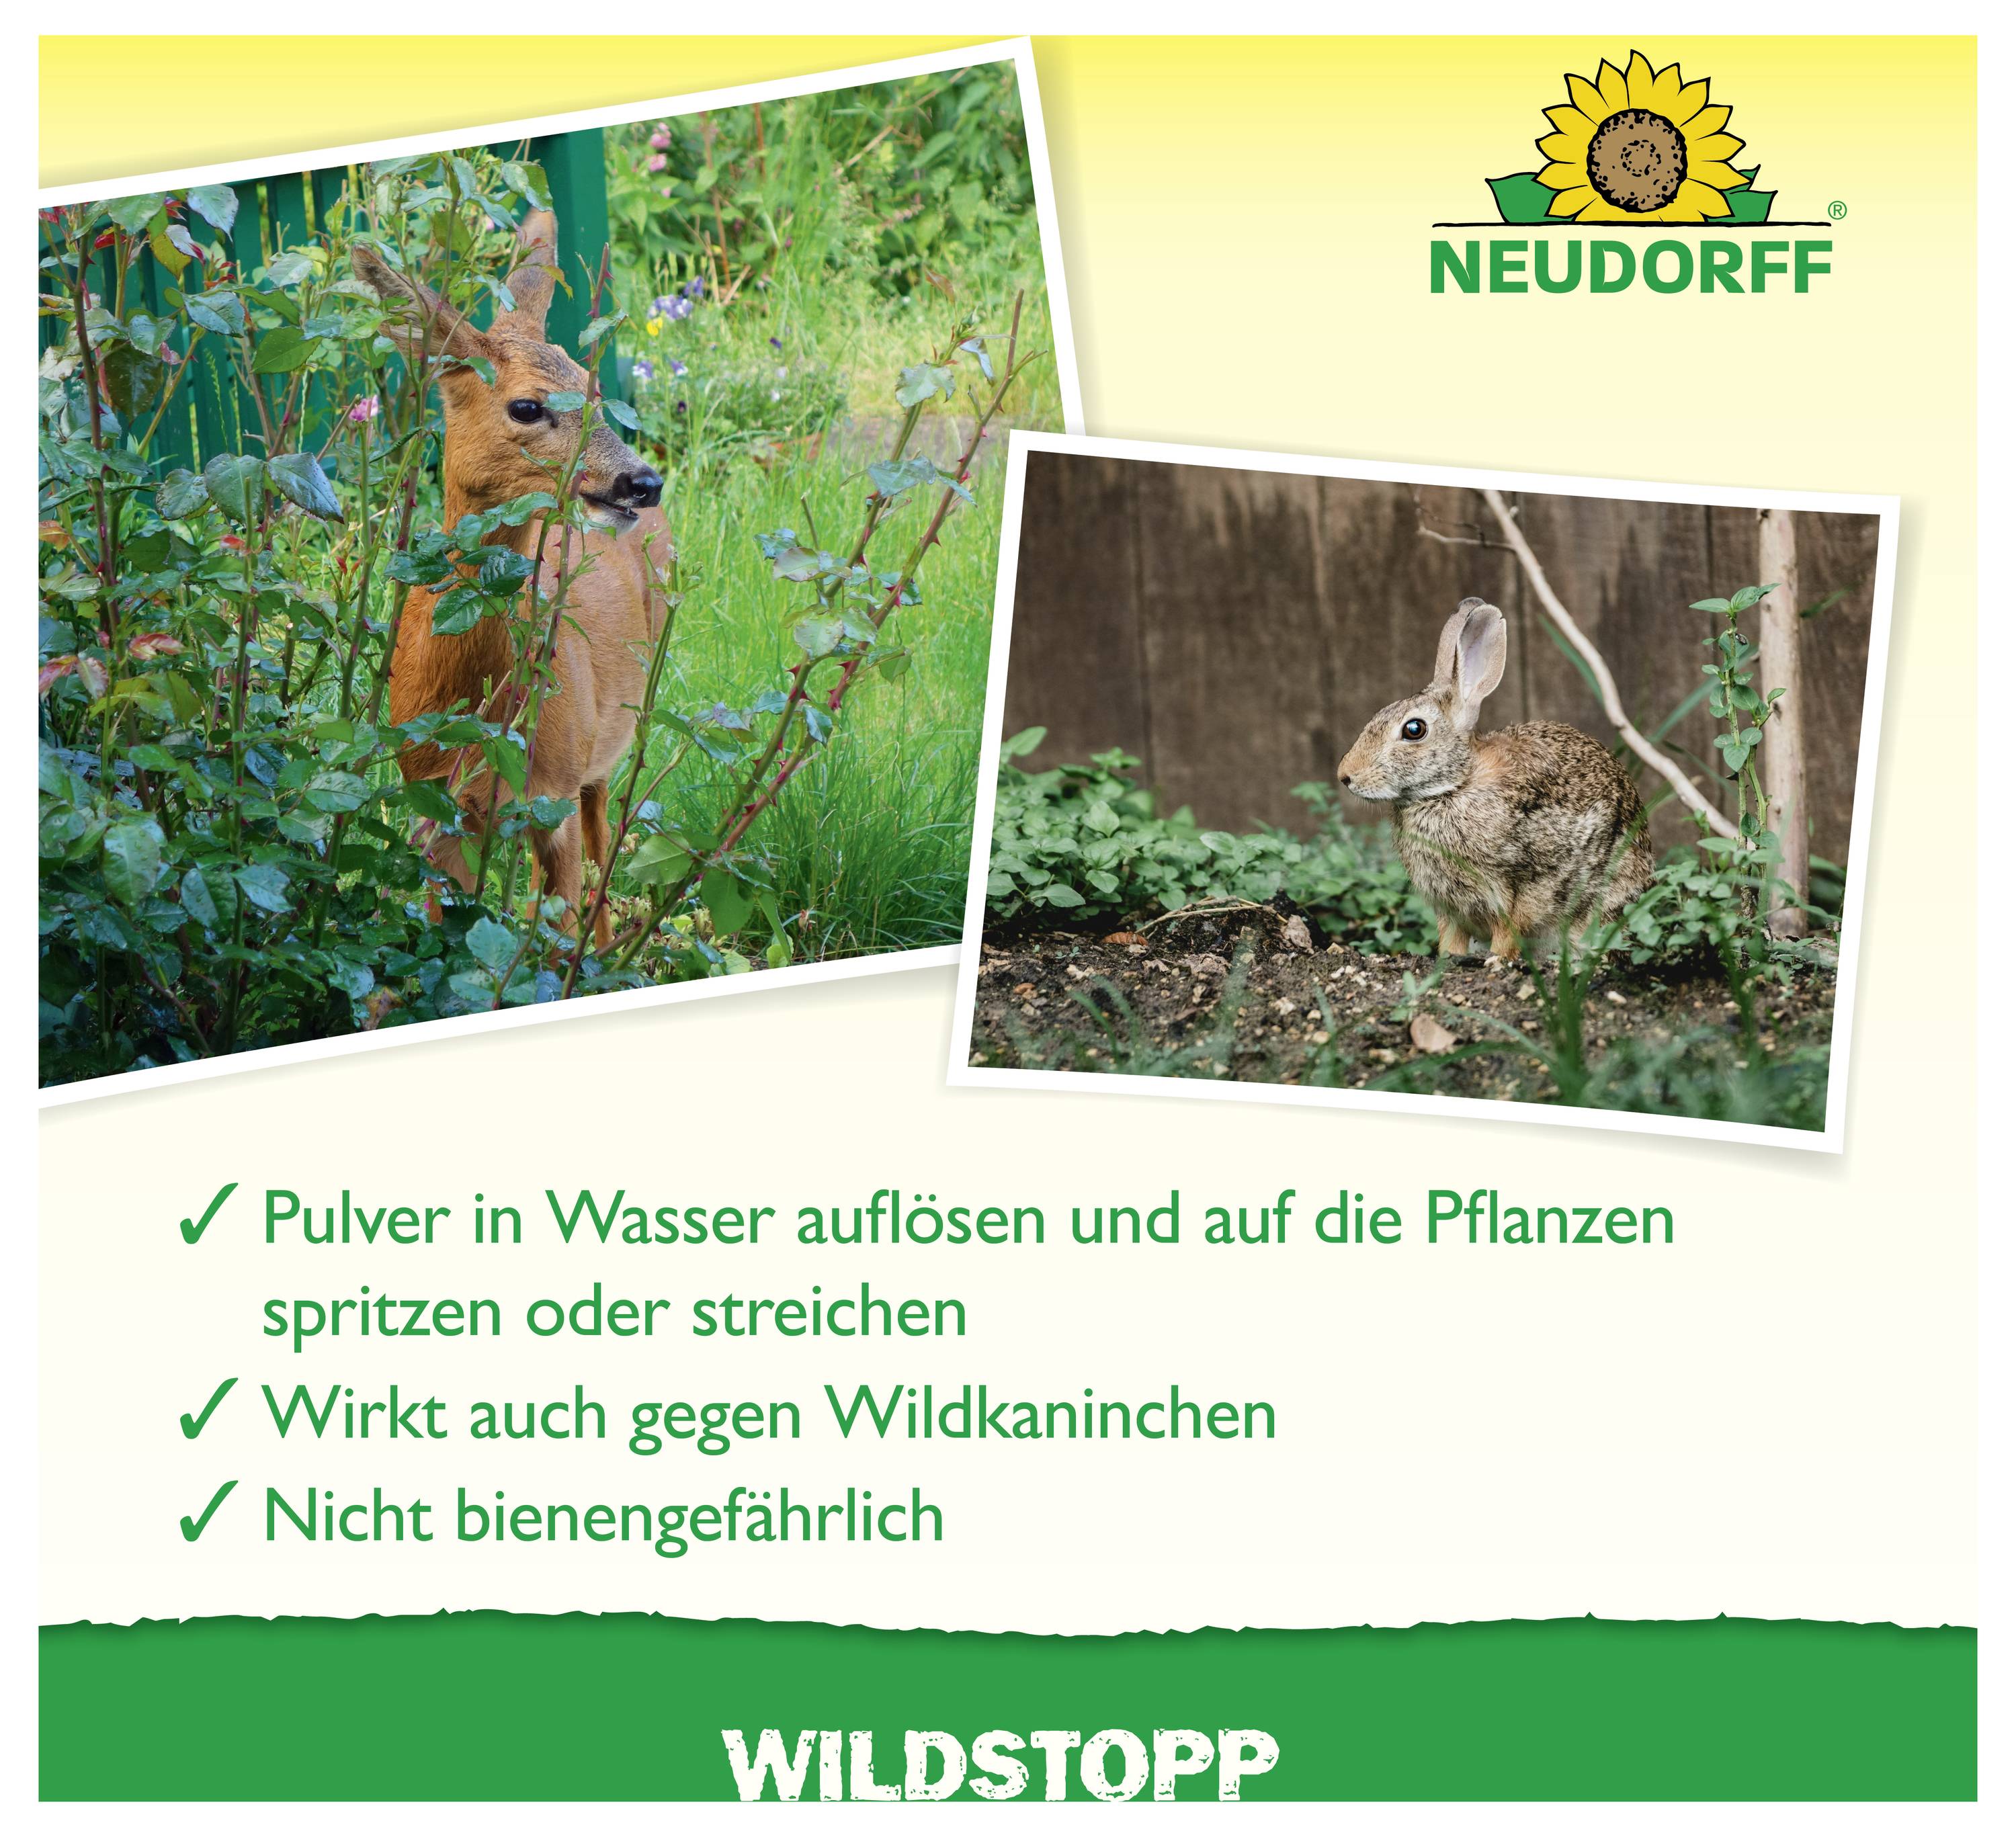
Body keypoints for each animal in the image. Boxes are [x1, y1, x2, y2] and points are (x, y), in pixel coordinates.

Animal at [351, 209, 673, 946]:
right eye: (526, 407)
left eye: (595, 391)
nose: (643, 483)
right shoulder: (435, 808)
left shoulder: (551, 795)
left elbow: (552, 939)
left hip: (608, 740)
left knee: (599, 843)